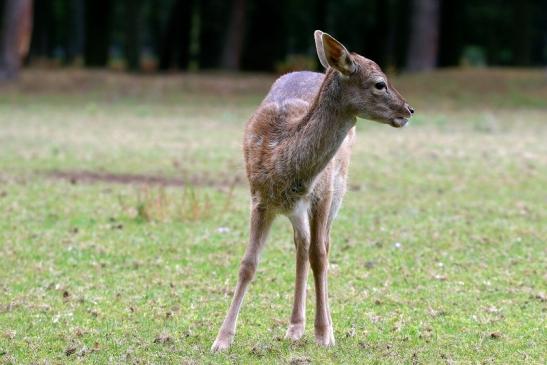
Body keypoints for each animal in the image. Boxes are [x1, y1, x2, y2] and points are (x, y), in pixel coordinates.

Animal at [212, 29, 414, 350]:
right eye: (380, 83)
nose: (408, 109)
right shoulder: (258, 198)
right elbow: (248, 264)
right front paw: (221, 339)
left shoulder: (324, 192)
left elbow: (320, 257)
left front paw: (324, 333)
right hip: (297, 209)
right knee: (301, 245)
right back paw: (294, 327)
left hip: (339, 189)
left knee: (320, 246)